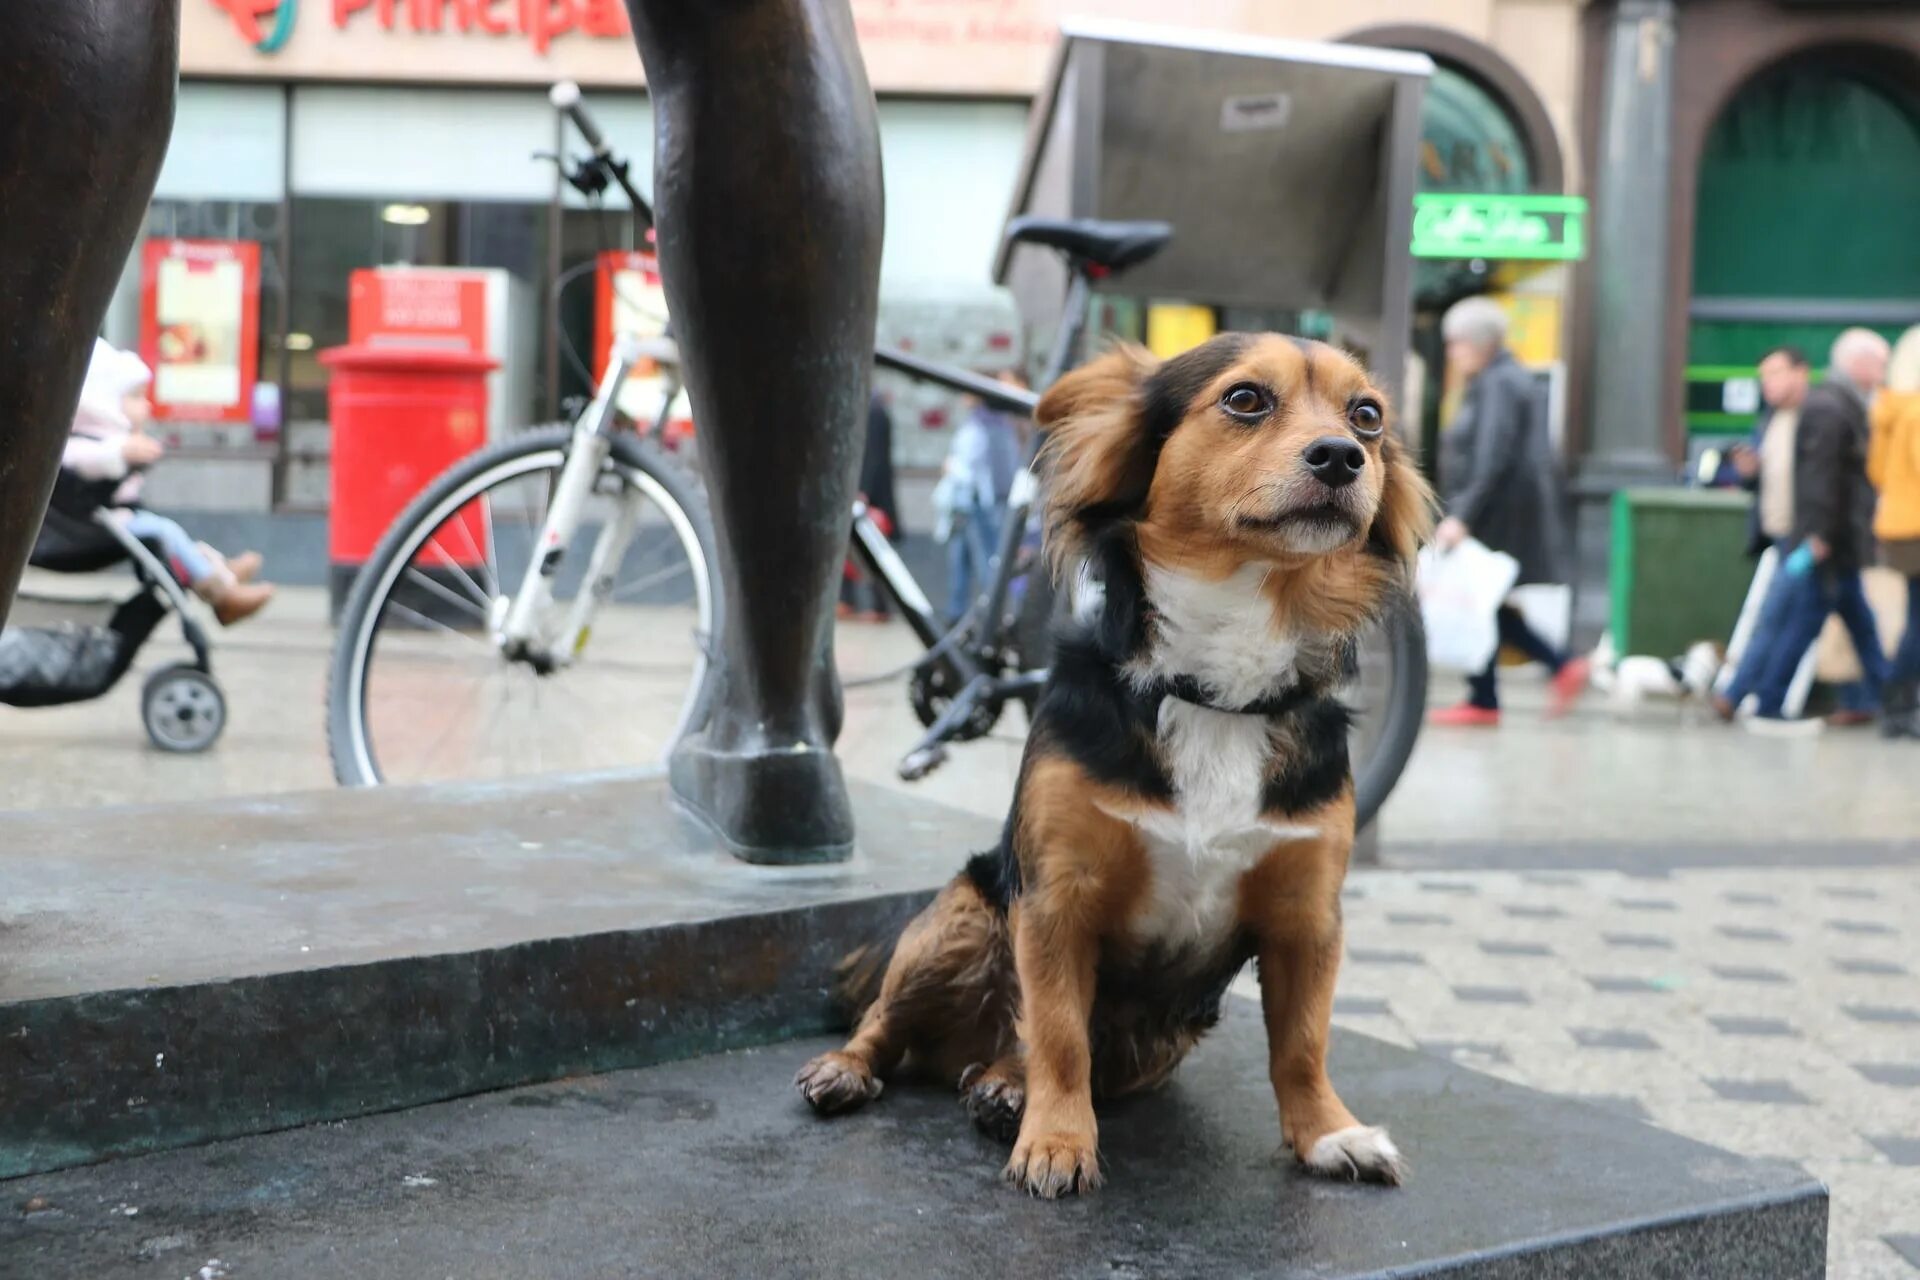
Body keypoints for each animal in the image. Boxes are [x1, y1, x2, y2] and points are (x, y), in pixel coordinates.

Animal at [787, 333, 1436, 1205]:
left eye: (1368, 416)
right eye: (1245, 400)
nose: (1341, 456)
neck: (1218, 688)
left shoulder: (1307, 919)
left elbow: (1302, 1044)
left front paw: (1330, 1134)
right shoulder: (1057, 899)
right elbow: (1060, 1034)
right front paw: (1057, 1143)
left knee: (1019, 1054)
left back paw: (1001, 1085)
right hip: (955, 922)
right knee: (886, 1023)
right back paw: (854, 1070)